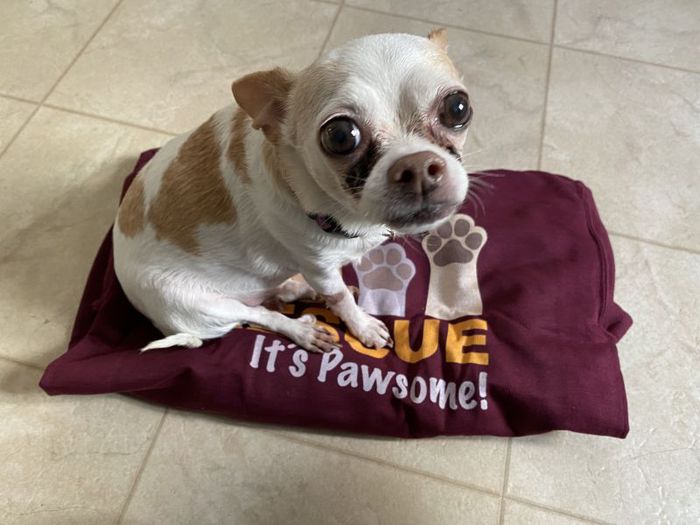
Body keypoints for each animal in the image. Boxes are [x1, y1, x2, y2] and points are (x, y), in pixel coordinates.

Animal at [115, 27, 474, 352]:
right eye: (340, 136)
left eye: (458, 107)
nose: (417, 167)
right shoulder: (321, 268)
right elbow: (340, 299)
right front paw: (363, 327)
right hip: (205, 310)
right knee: (260, 315)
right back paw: (302, 329)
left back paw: (296, 289)